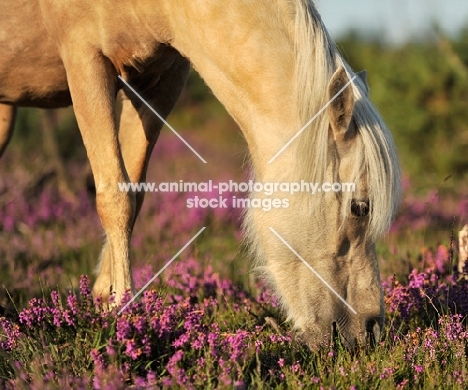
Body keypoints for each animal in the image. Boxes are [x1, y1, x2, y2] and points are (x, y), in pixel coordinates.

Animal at [0, 0, 402, 348]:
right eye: (360, 207)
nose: (371, 331)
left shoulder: (159, 81)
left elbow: (133, 195)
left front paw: (103, 299)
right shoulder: (85, 61)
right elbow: (115, 198)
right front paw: (123, 313)